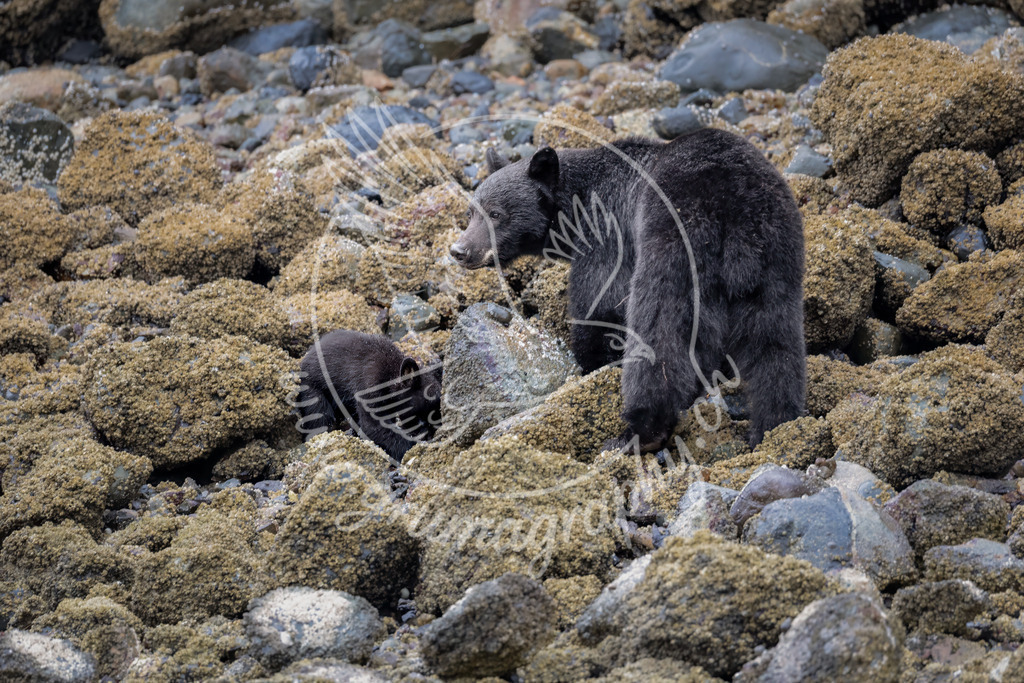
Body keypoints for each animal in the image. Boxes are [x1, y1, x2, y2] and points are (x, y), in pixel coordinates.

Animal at [296, 330, 443, 460]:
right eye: (419, 419)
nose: (429, 436)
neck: (391, 374)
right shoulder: (369, 386)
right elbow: (373, 425)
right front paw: (409, 449)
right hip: (313, 388)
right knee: (319, 417)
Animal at [450, 128, 805, 450]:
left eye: (496, 213)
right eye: (470, 212)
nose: (459, 250)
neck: (576, 205)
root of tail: (734, 207)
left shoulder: (606, 234)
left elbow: (598, 300)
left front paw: (592, 363)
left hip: (674, 245)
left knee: (659, 332)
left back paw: (640, 431)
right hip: (776, 257)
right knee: (775, 343)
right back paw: (775, 426)